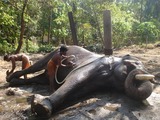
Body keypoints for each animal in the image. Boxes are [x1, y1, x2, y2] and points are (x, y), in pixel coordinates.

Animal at [6, 45, 155, 117]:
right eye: (136, 64)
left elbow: (78, 91)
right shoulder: (95, 64)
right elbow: (76, 79)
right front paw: (41, 108)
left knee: (40, 78)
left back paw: (14, 82)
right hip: (52, 54)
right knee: (36, 66)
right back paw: (10, 78)